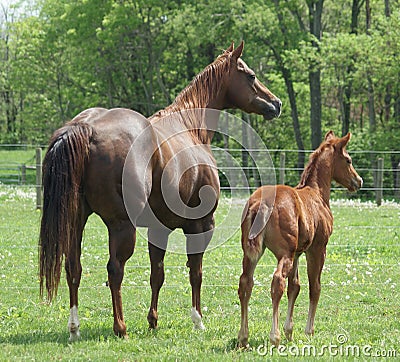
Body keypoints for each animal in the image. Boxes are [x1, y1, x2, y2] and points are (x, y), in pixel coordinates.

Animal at [38, 41, 282, 340]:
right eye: (250, 75)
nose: (276, 103)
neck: (190, 127)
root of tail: (86, 127)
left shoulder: (159, 228)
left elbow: (157, 274)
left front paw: (153, 320)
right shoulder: (201, 225)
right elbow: (196, 272)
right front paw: (197, 319)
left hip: (76, 220)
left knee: (74, 267)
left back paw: (74, 328)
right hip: (121, 226)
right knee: (115, 270)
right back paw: (120, 327)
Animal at [238, 131, 362, 348]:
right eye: (348, 160)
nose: (358, 180)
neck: (317, 193)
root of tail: (259, 204)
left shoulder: (297, 253)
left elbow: (294, 287)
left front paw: (290, 331)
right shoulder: (317, 249)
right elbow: (315, 287)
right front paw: (308, 330)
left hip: (252, 252)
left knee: (246, 282)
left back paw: (243, 337)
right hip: (284, 253)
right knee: (277, 282)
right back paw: (275, 337)